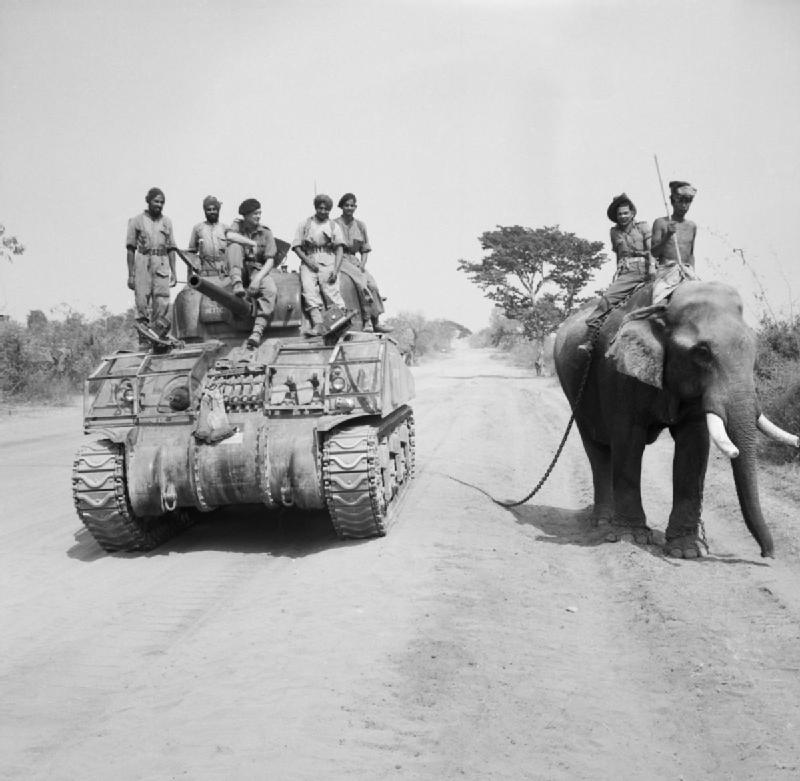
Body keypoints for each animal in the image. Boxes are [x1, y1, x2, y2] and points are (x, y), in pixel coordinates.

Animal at [552, 278, 796, 556]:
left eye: (754, 346)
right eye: (702, 352)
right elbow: (628, 440)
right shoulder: (618, 373)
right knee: (597, 449)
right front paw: (632, 537)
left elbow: (693, 445)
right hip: (576, 392)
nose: (767, 553)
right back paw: (604, 523)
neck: (663, 309)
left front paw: (686, 550)